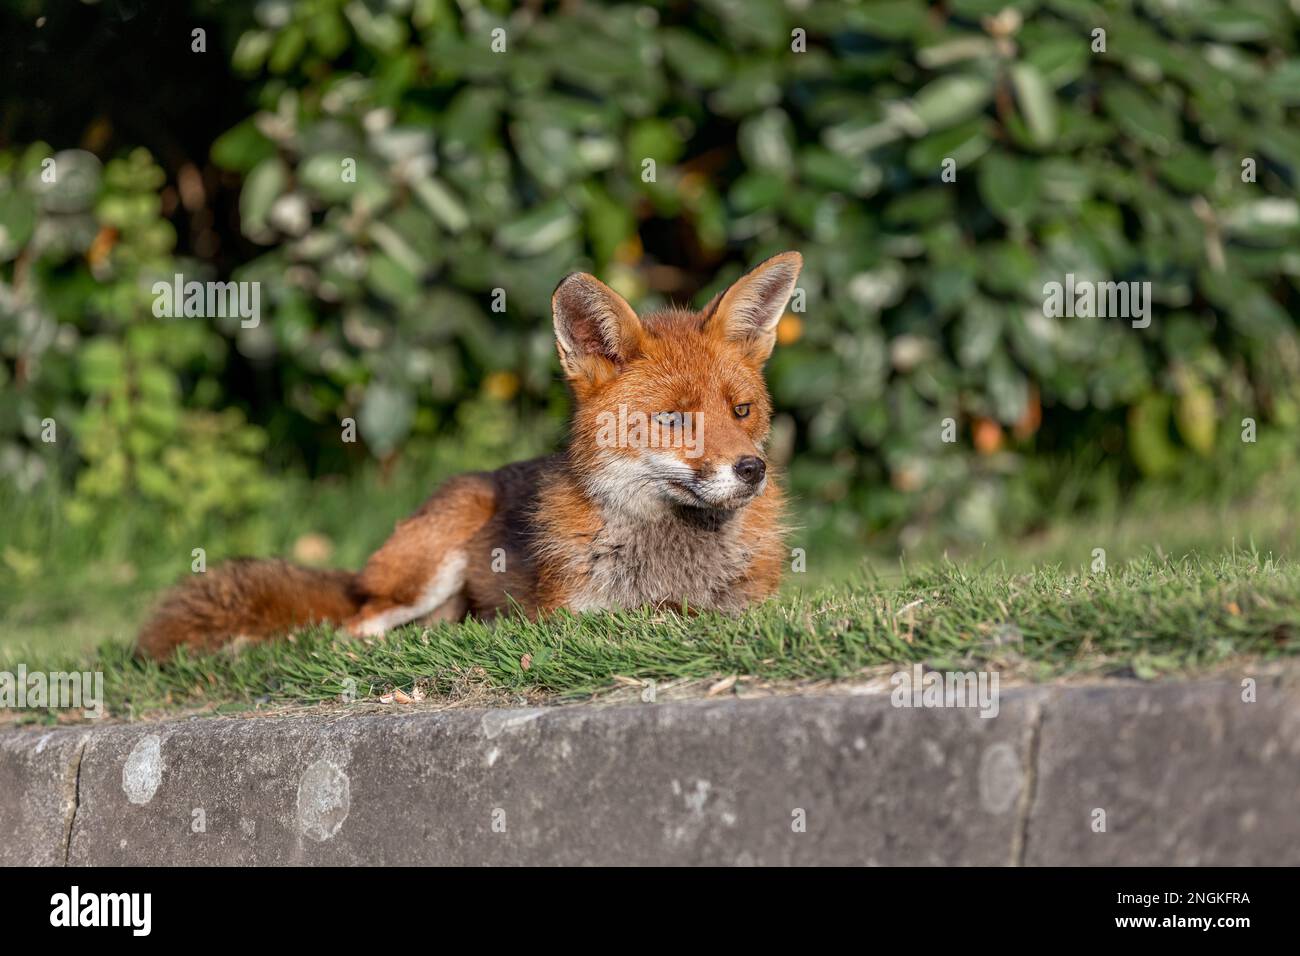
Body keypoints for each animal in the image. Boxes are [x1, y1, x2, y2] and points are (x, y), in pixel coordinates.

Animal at [135, 251, 803, 659]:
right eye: (673, 420)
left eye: (741, 411)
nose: (752, 470)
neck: (670, 556)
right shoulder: (569, 615)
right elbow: (646, 616)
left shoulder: (753, 604)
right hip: (427, 567)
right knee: (351, 627)